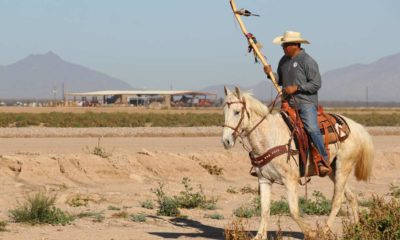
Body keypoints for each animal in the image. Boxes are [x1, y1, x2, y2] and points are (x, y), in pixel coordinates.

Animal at [222, 86, 376, 238]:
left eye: (237, 112)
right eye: (224, 111)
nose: (226, 141)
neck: (271, 137)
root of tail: (355, 127)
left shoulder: (290, 180)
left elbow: (294, 211)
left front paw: (311, 233)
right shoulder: (264, 180)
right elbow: (264, 210)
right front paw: (259, 235)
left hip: (343, 167)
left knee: (337, 201)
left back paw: (324, 231)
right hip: (333, 171)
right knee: (351, 197)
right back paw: (356, 229)